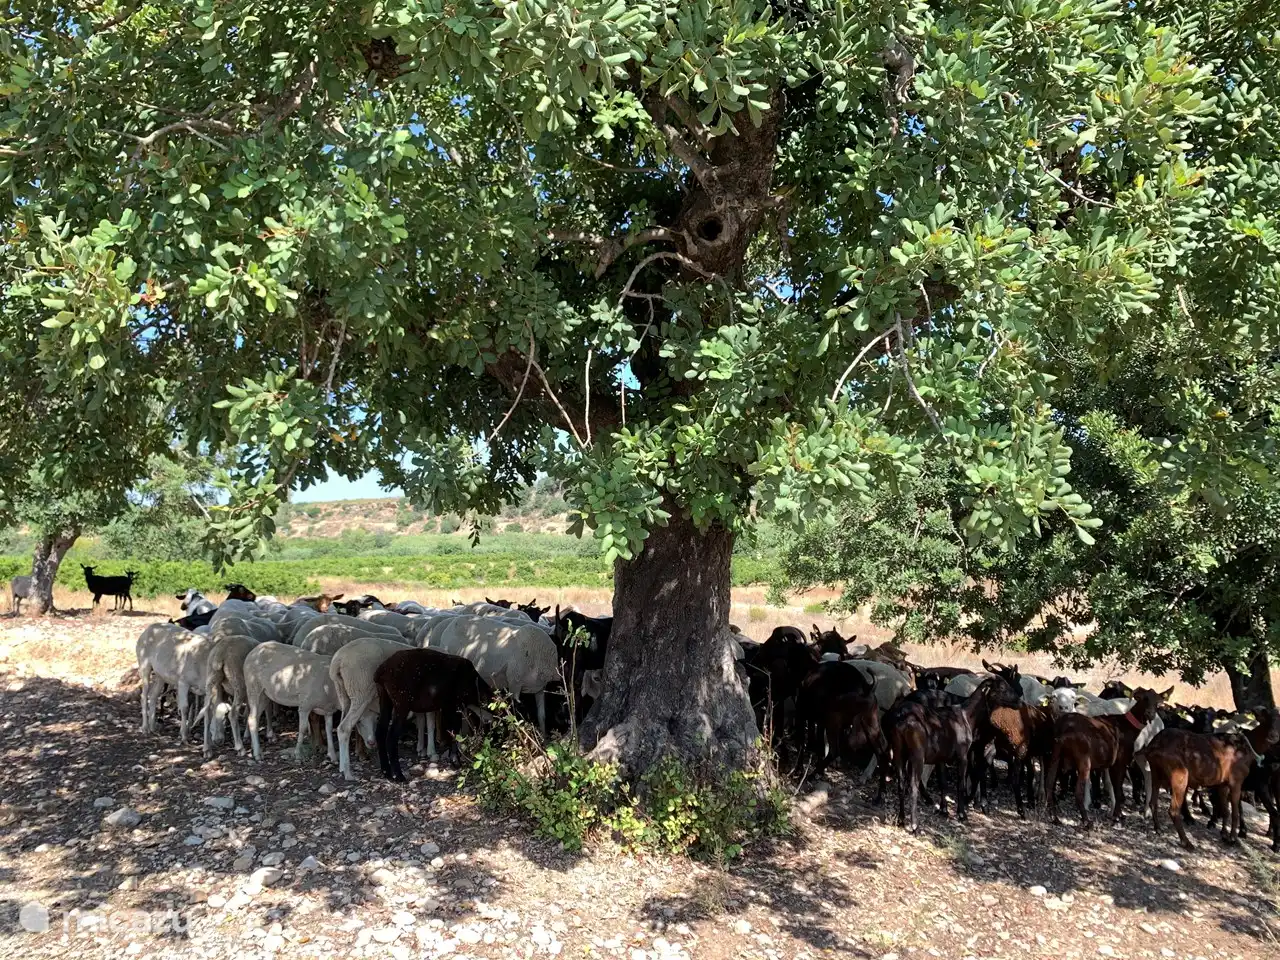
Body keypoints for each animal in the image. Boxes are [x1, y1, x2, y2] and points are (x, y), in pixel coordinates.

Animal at [374, 648, 492, 781]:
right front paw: (456, 761)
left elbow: (451, 730)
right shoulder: (455, 704)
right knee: (391, 737)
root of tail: (381, 672)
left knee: (380, 732)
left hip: (384, 697)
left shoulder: (448, 706)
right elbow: (455, 729)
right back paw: (399, 776)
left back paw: (386, 772)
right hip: (401, 703)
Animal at [427, 615, 560, 734]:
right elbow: (515, 715)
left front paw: (544, 738)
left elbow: (541, 716)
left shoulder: (540, 688)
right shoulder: (514, 685)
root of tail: (451, 624)